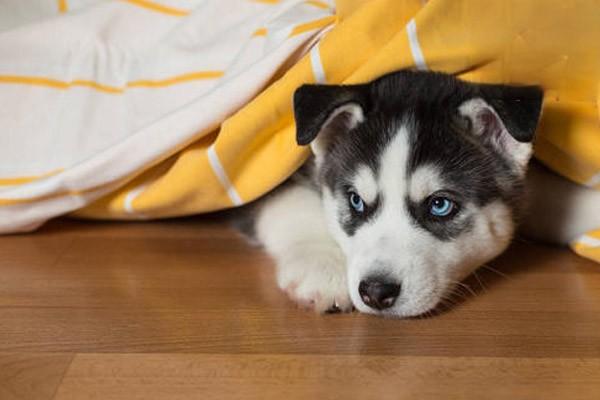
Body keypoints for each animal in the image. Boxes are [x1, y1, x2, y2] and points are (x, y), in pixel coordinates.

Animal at [236, 69, 592, 318]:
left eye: (440, 205)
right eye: (355, 200)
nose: (376, 291)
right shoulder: (261, 176)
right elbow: (296, 204)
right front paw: (324, 268)